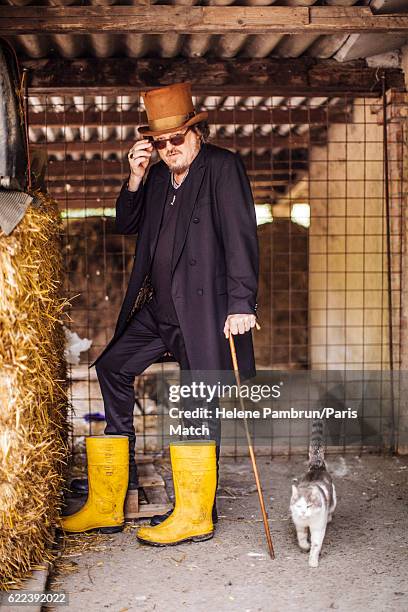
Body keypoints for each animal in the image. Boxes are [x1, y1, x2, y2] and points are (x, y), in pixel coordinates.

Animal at [290, 420, 338, 568]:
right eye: (299, 506)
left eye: (309, 506)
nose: (303, 512)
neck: (308, 521)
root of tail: (317, 466)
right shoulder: (299, 524)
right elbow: (301, 538)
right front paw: (305, 546)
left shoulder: (318, 528)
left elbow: (316, 544)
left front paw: (313, 561)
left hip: (333, 500)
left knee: (331, 510)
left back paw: (329, 517)